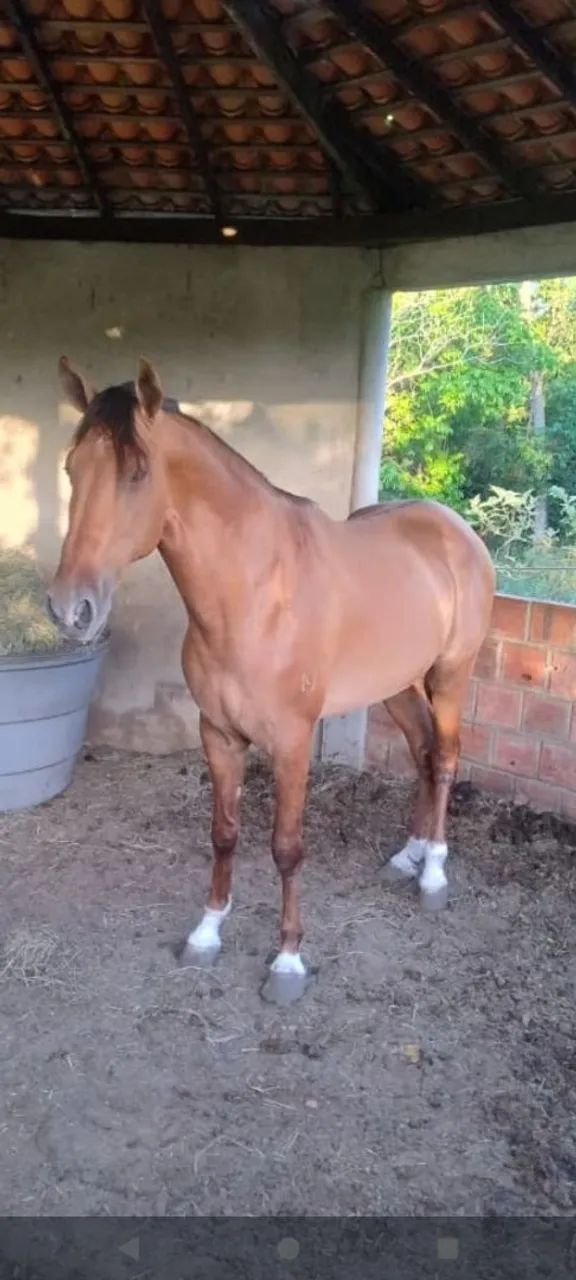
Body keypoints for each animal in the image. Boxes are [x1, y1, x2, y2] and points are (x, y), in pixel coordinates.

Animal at [49, 357, 495, 1005]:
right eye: (71, 467)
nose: (69, 609)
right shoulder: (218, 734)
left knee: (446, 759)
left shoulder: (291, 742)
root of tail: (453, 527)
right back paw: (407, 856)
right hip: (397, 683)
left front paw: (288, 960)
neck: (255, 594)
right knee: (422, 750)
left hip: (451, 675)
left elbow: (286, 848)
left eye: (136, 473)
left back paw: (433, 872)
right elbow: (224, 833)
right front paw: (207, 932)